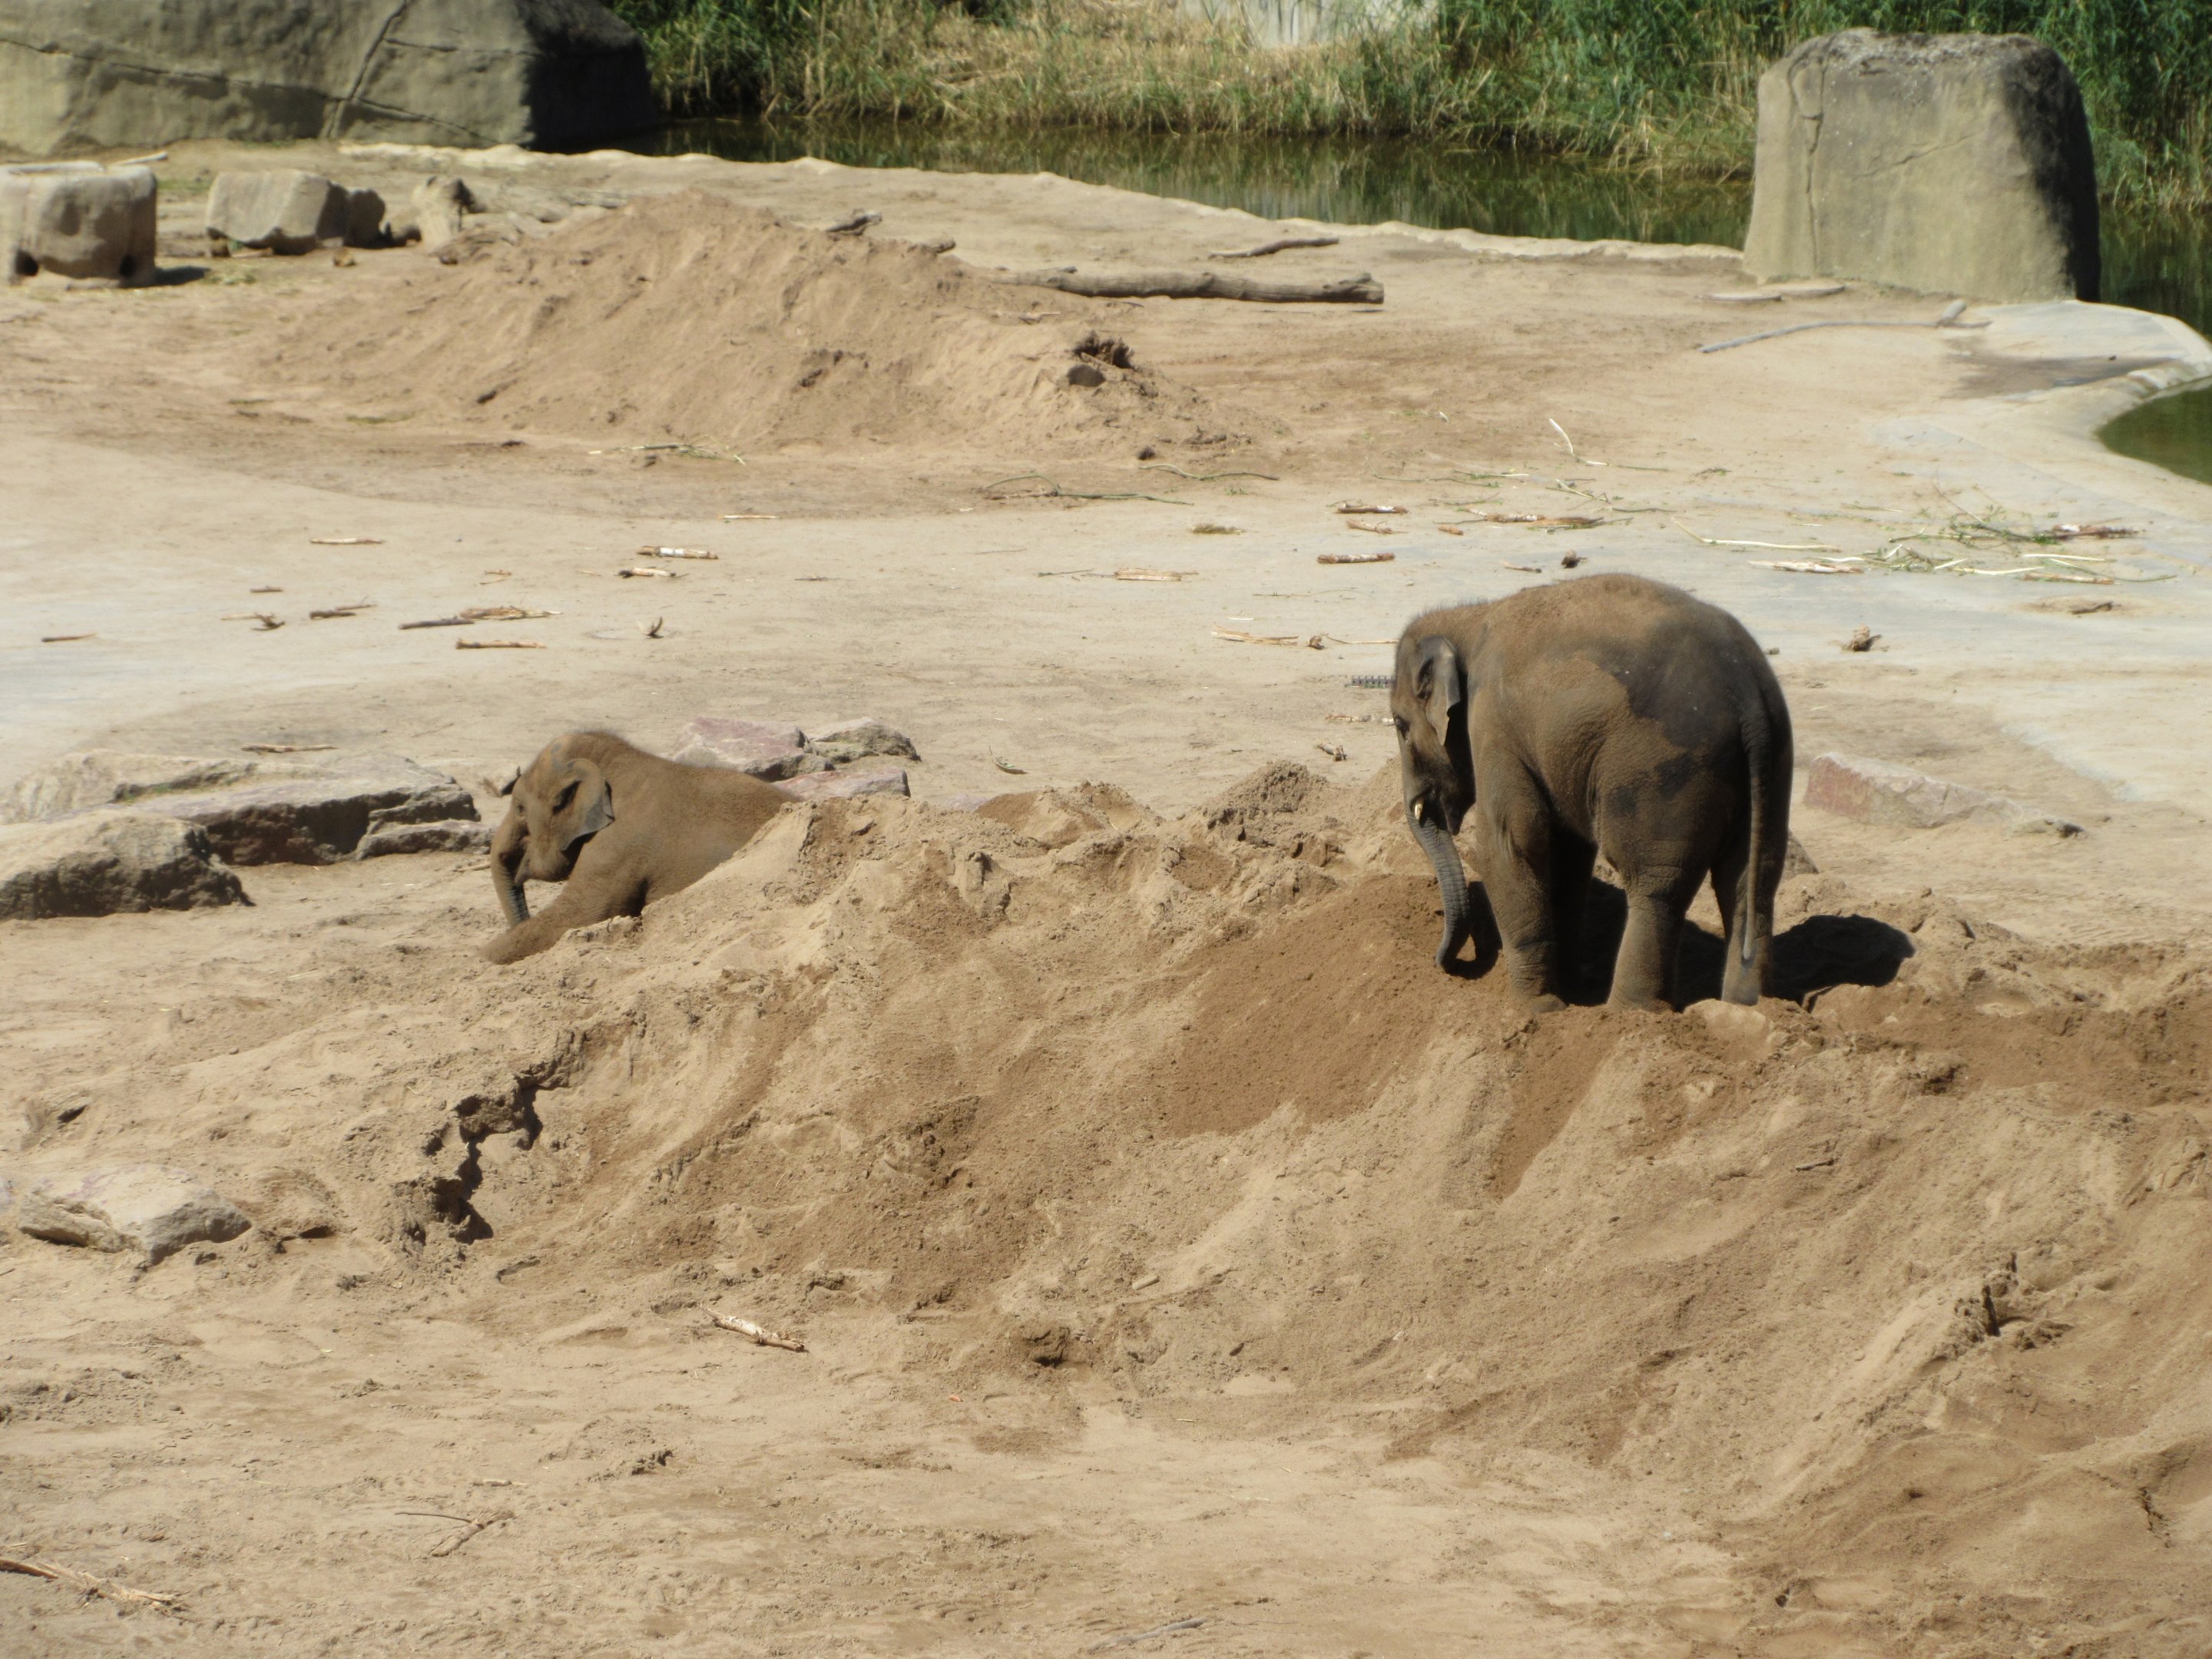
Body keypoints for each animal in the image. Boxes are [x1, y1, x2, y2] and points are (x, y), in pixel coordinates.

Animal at [1392, 573, 1792, 1010]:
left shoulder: (1493, 724)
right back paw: (1747, 1007)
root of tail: (1749, 695)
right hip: (1772, 767)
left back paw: (1629, 1013)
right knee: (1751, 881)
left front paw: (1536, 1008)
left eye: (1399, 725)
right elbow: (1566, 851)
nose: (1442, 963)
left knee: (1656, 884)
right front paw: (1568, 995)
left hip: (1664, 772)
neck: (1469, 616)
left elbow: (1510, 841)